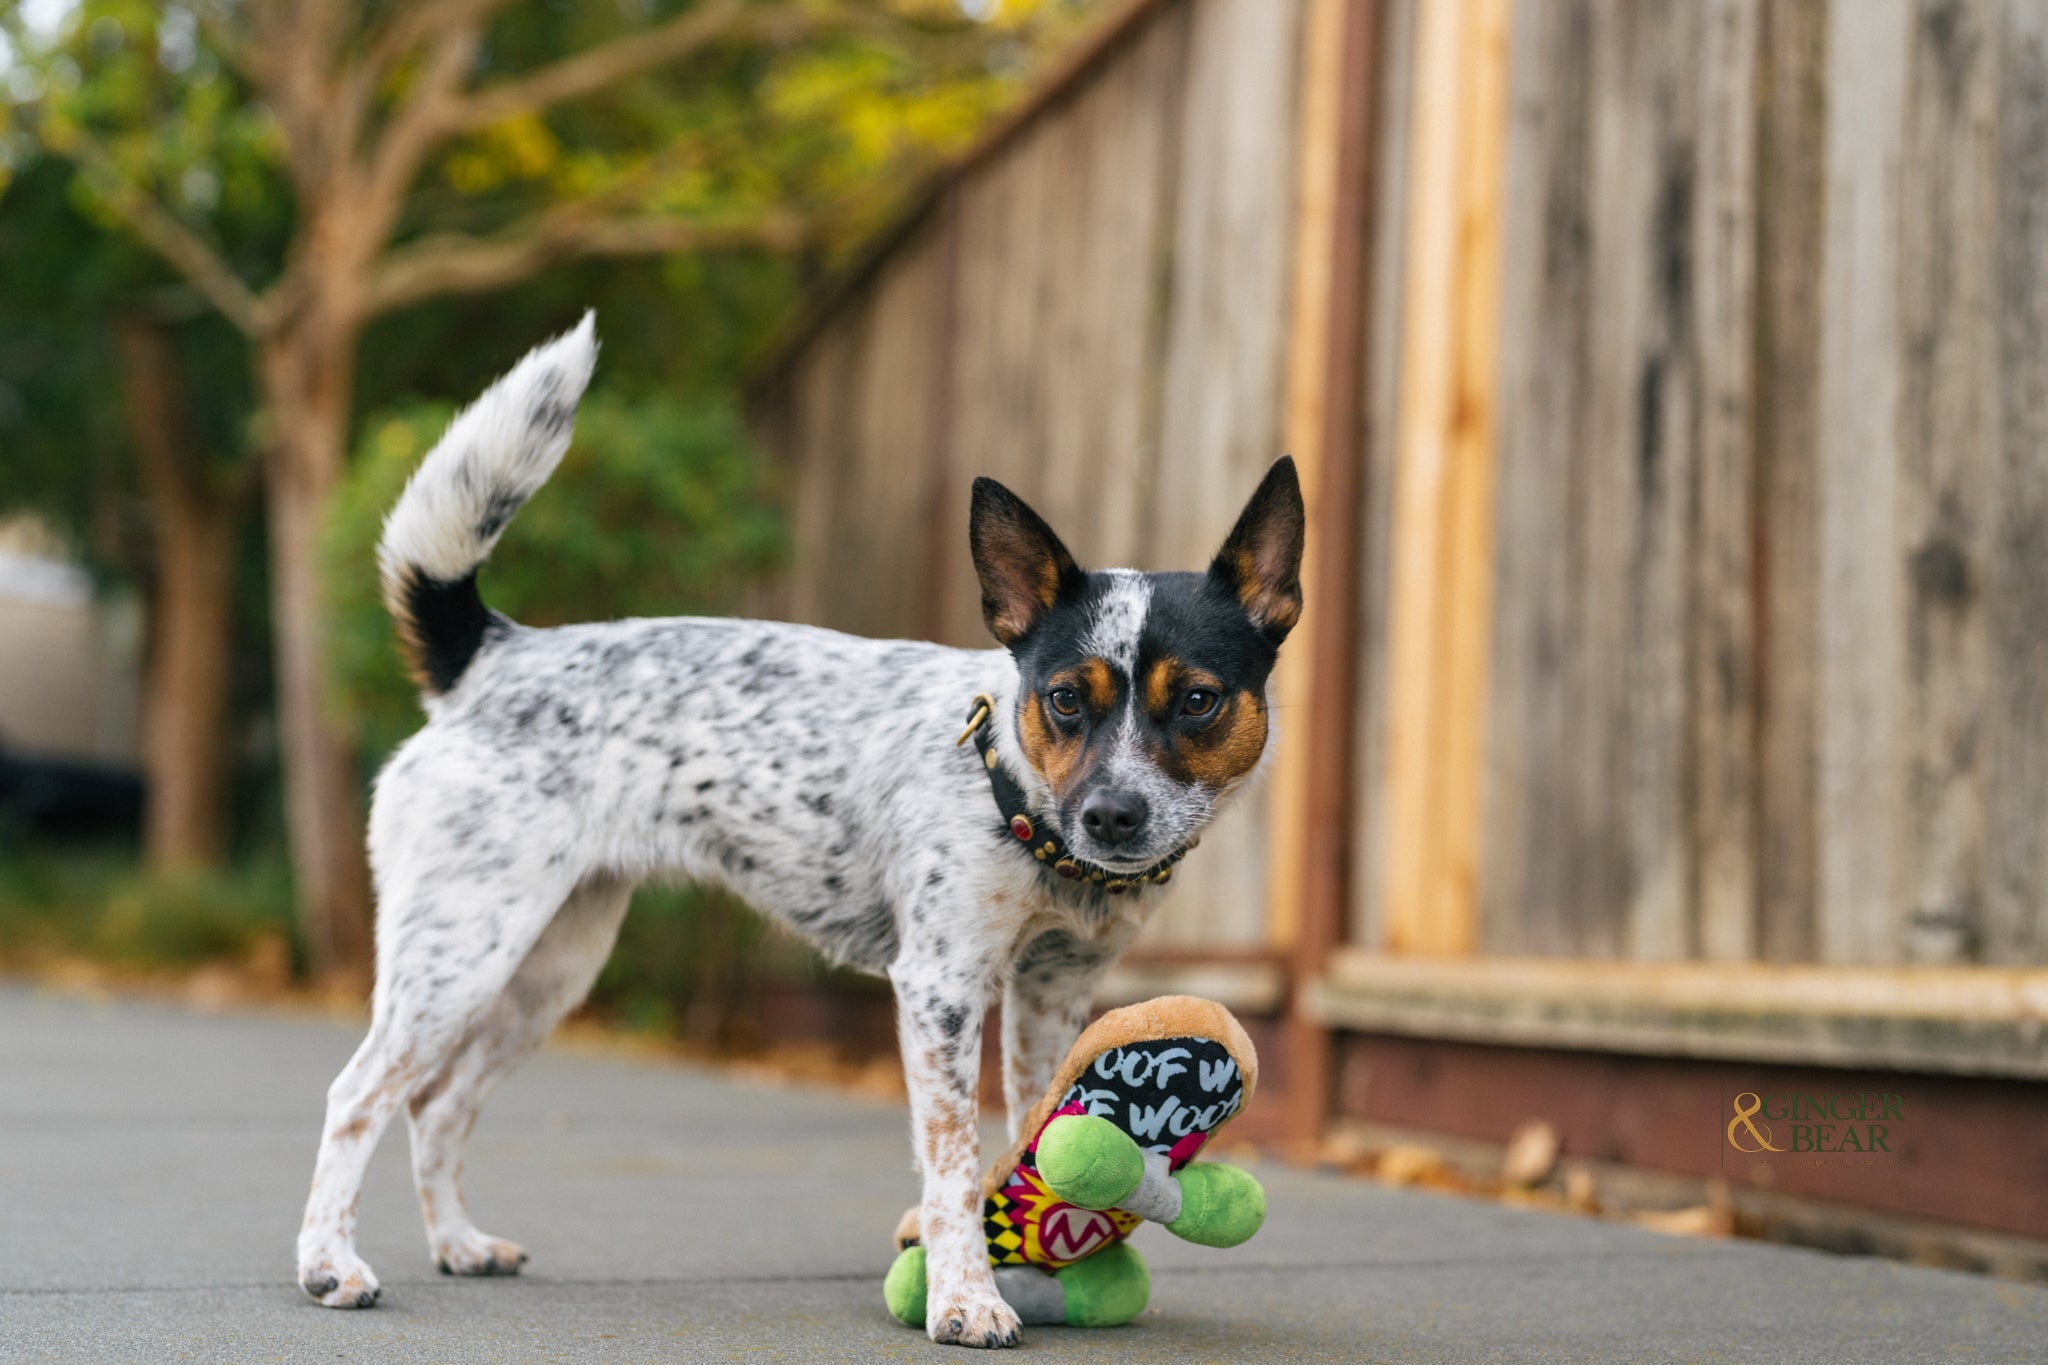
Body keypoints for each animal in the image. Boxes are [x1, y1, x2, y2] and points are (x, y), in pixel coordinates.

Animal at [296, 317, 1302, 1342]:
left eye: (1199, 699)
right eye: (1065, 697)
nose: (1112, 814)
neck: (1022, 807)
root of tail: (494, 657)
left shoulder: (1052, 990)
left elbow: (1031, 1122)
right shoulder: (940, 988)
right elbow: (950, 1161)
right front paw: (965, 1296)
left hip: (546, 970)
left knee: (437, 1105)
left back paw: (458, 1242)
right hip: (460, 957)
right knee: (357, 1094)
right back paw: (329, 1263)